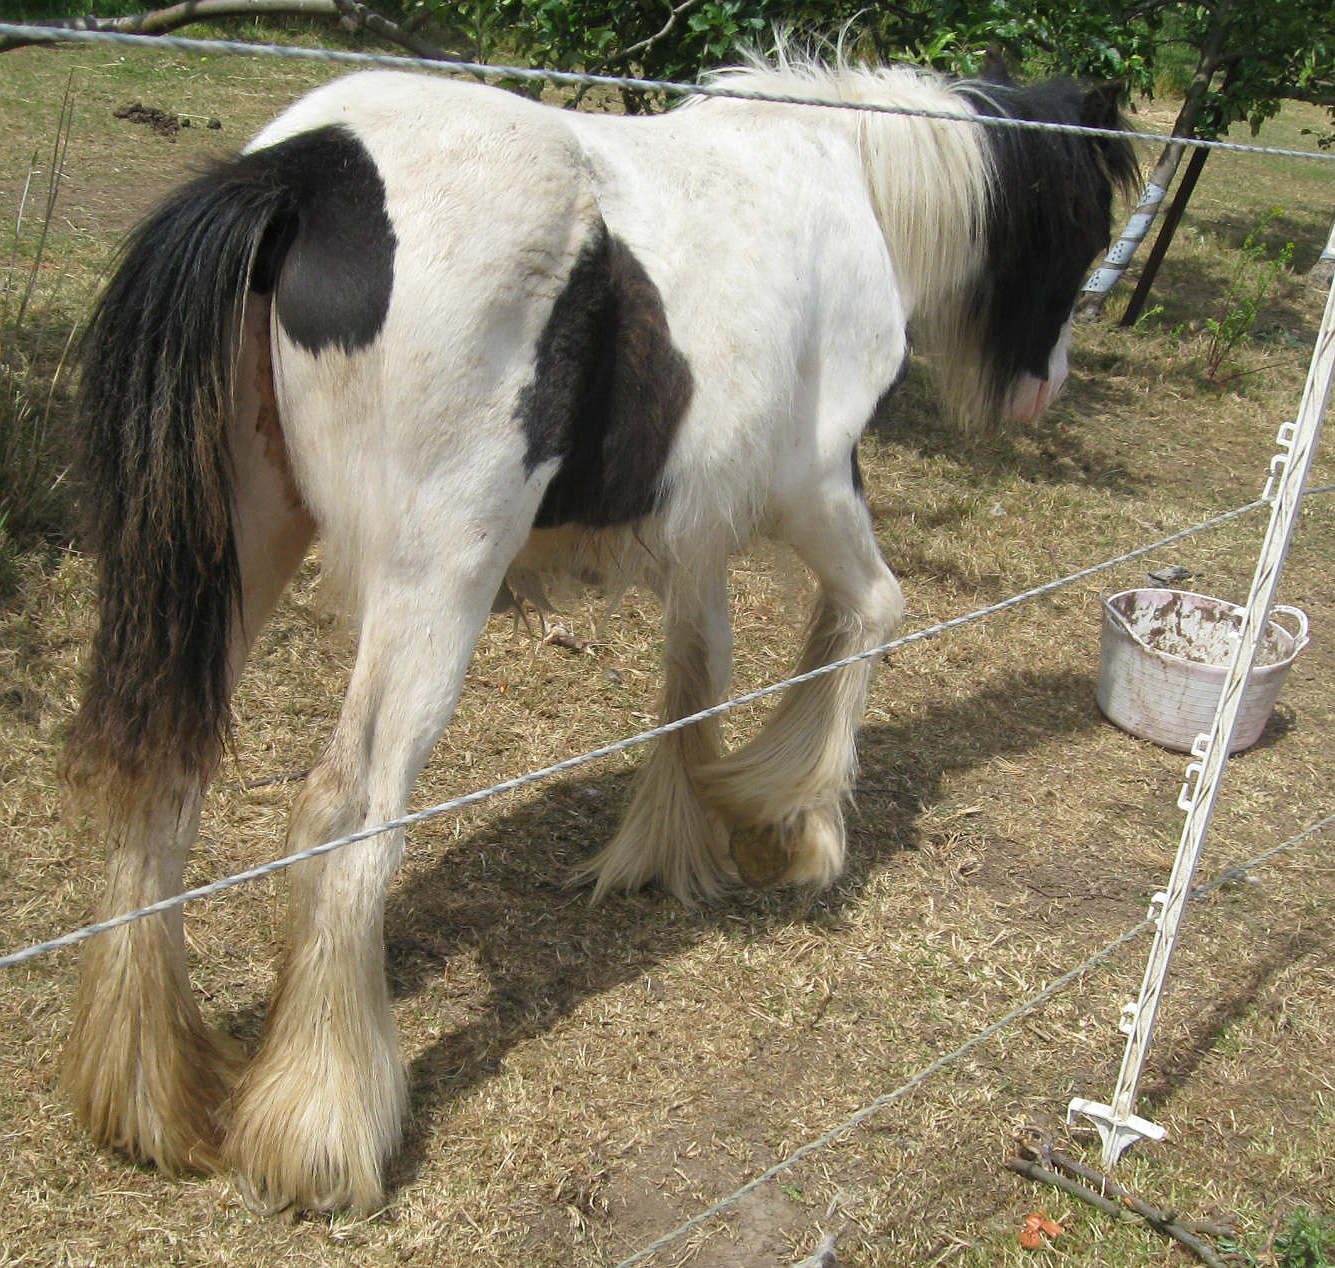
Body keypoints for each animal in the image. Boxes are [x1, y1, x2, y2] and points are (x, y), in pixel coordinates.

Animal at [61, 50, 1136, 1213]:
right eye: (1089, 217)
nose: (1045, 388)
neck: (840, 168)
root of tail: (305, 170)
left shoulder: (700, 526)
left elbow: (696, 675)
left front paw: (677, 843)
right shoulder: (815, 490)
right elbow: (873, 613)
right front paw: (792, 825)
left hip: (242, 550)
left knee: (165, 779)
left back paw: (151, 1097)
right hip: (434, 585)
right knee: (347, 811)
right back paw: (325, 1132)